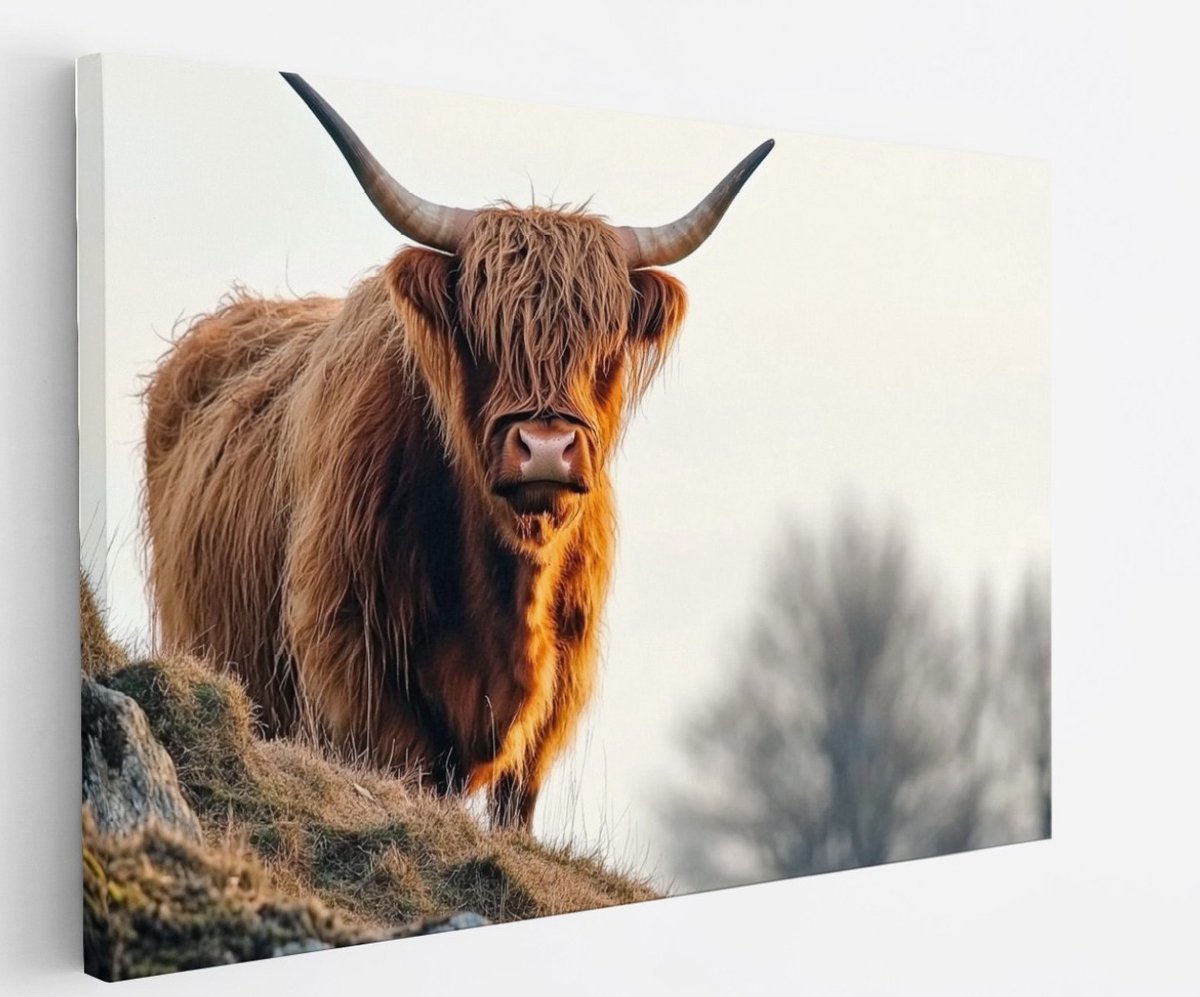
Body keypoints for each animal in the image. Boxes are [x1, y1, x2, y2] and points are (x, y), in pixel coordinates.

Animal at [143, 73, 772, 829]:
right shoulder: (355, 668)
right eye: (482, 331)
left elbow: (514, 811)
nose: (547, 448)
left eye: (605, 343)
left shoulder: (553, 704)